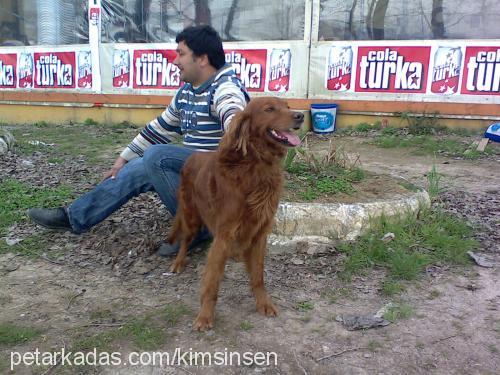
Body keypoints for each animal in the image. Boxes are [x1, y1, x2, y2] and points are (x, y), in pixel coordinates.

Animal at [168, 97, 302, 332]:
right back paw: (178, 262)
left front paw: (264, 303)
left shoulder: (260, 231)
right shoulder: (224, 234)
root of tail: (193, 154)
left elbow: (258, 275)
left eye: (287, 106)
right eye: (269, 109)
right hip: (191, 215)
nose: (301, 116)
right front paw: (205, 316)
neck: (258, 166)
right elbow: (212, 281)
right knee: (185, 239)